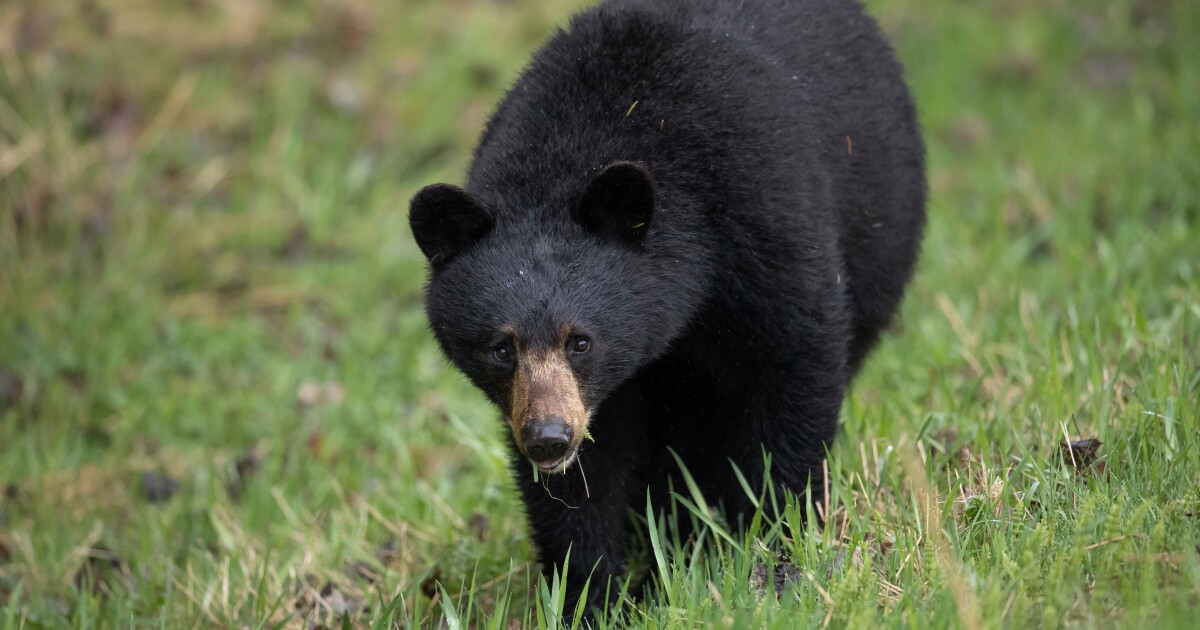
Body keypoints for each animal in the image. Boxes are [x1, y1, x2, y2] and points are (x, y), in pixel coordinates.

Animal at [408, 0, 925, 616]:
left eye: (581, 340)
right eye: (500, 348)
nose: (549, 438)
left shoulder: (766, 224)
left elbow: (795, 370)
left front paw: (778, 557)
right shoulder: (584, 399)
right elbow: (584, 480)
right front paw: (593, 595)